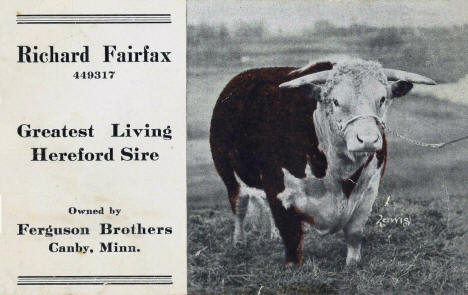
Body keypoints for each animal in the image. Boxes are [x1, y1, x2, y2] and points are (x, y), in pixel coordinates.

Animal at [208, 59, 436, 268]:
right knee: (240, 206)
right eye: (335, 101)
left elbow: (354, 232)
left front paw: (352, 264)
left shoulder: (369, 191)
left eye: (382, 98)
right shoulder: (278, 189)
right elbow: (290, 235)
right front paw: (292, 266)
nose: (368, 140)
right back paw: (239, 241)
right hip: (229, 174)